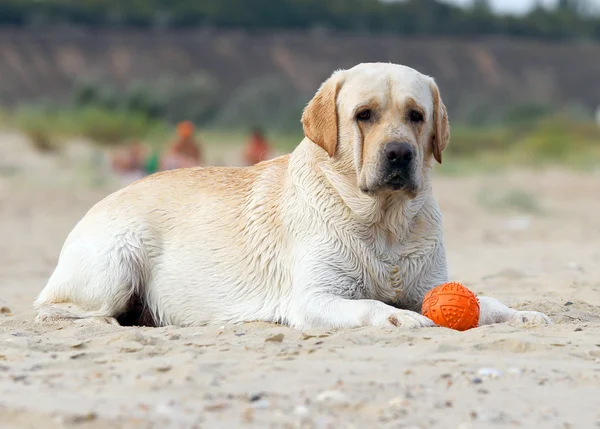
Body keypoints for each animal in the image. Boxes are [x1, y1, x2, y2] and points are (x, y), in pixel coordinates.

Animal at [31, 62, 548, 328]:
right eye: (364, 114)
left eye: (416, 115)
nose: (400, 154)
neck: (383, 222)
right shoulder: (313, 298)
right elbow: (371, 305)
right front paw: (400, 318)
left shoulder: (428, 285)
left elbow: (485, 301)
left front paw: (520, 312)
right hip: (116, 265)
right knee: (61, 308)